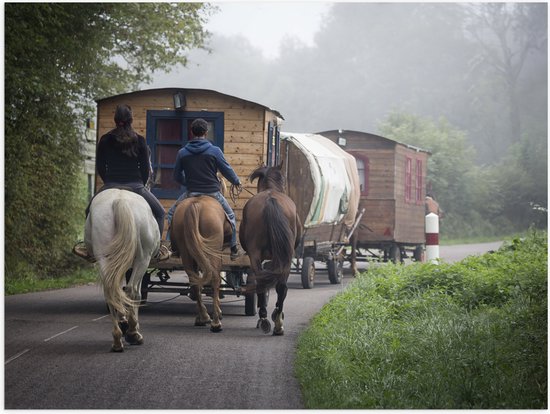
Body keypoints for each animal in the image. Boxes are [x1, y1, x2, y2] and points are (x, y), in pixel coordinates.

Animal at [85, 189, 161, 350]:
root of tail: (120, 200)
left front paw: (123, 320)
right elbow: (136, 293)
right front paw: (131, 327)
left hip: (104, 258)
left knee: (110, 291)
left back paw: (117, 338)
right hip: (142, 259)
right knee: (132, 291)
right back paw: (132, 333)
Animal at [169, 195, 232, 334]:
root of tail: (196, 204)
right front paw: (218, 312)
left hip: (186, 251)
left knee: (194, 281)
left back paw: (203, 317)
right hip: (212, 250)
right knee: (215, 279)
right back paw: (216, 323)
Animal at [240, 165, 304, 336]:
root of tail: (270, 200)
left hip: (257, 256)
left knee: (264, 283)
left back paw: (265, 319)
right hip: (285, 257)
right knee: (279, 286)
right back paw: (276, 322)